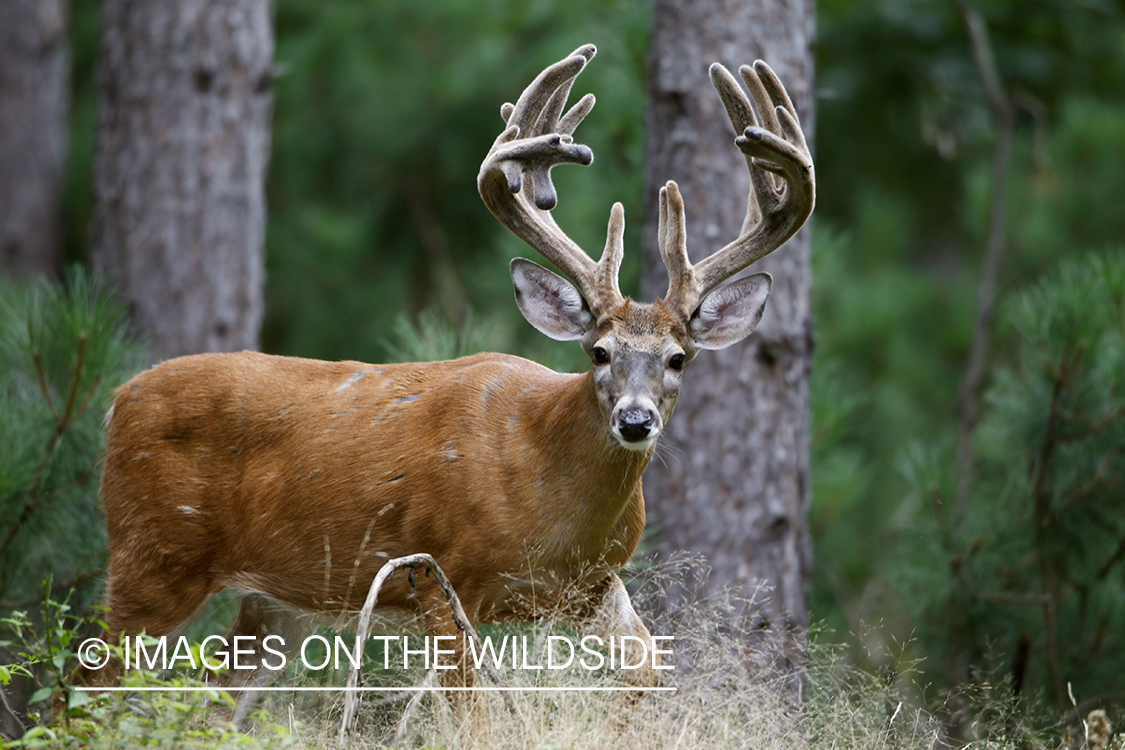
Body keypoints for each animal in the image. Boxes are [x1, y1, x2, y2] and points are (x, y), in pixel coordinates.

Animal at [81, 44, 819, 728]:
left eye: (678, 359)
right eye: (598, 352)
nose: (635, 422)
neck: (548, 497)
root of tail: (117, 402)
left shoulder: (592, 583)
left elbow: (646, 670)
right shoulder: (434, 571)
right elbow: (476, 719)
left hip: (276, 599)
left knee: (213, 699)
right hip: (153, 552)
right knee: (90, 683)